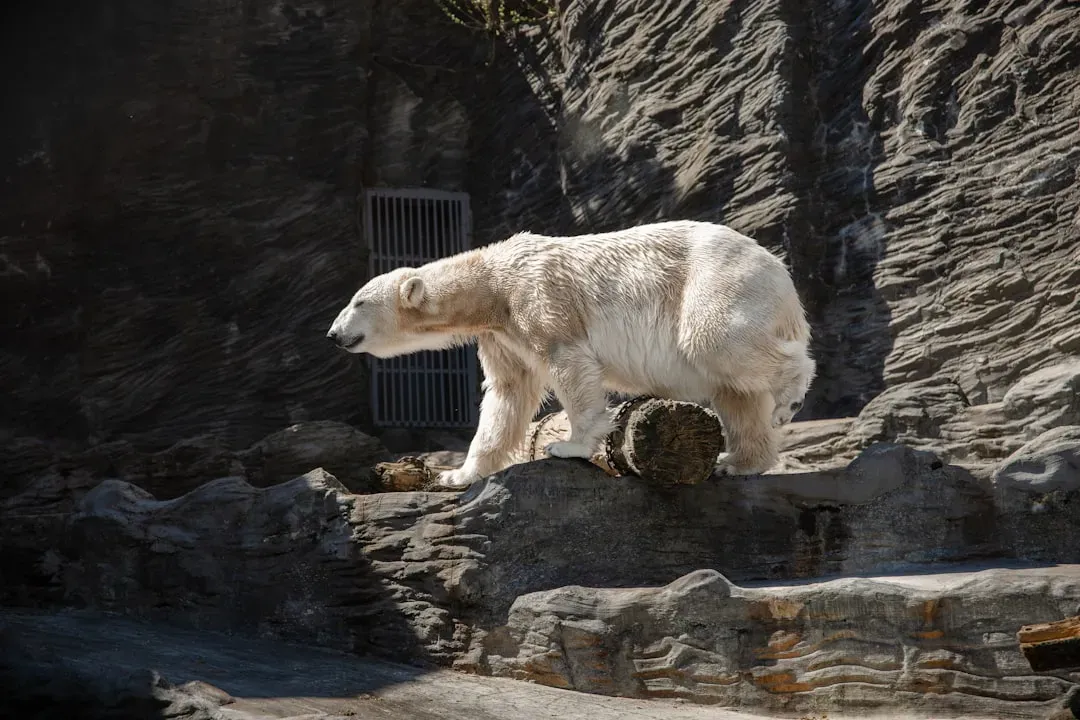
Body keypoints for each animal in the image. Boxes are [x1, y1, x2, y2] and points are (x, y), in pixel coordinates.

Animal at [327, 220, 815, 489]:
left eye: (358, 301)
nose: (333, 334)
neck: (492, 286)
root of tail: (782, 274)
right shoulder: (501, 334)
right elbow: (507, 392)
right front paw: (459, 475)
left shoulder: (537, 297)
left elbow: (568, 362)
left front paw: (569, 445)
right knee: (736, 391)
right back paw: (739, 462)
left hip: (717, 281)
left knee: (714, 340)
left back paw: (789, 397)